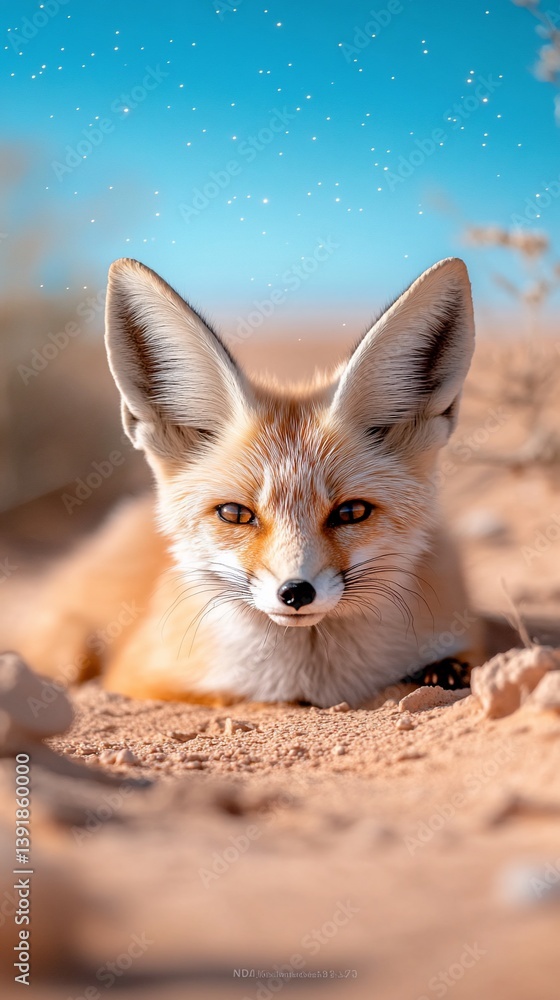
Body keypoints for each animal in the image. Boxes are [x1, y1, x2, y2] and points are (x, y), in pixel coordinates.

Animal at [3, 256, 482, 708]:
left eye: (351, 512)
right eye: (235, 513)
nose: (295, 592)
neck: (313, 679)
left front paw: (441, 672)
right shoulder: (140, 677)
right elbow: (224, 694)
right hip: (68, 651)